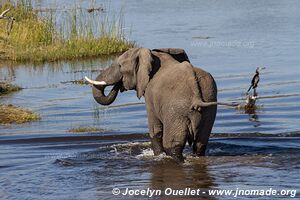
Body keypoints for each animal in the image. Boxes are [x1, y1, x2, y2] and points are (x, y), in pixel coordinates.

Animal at [84, 47, 220, 162]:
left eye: (120, 66)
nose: (119, 84)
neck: (153, 54)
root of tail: (194, 85)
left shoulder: (149, 95)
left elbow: (155, 129)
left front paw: (158, 156)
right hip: (209, 103)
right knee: (200, 144)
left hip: (176, 110)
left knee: (172, 146)